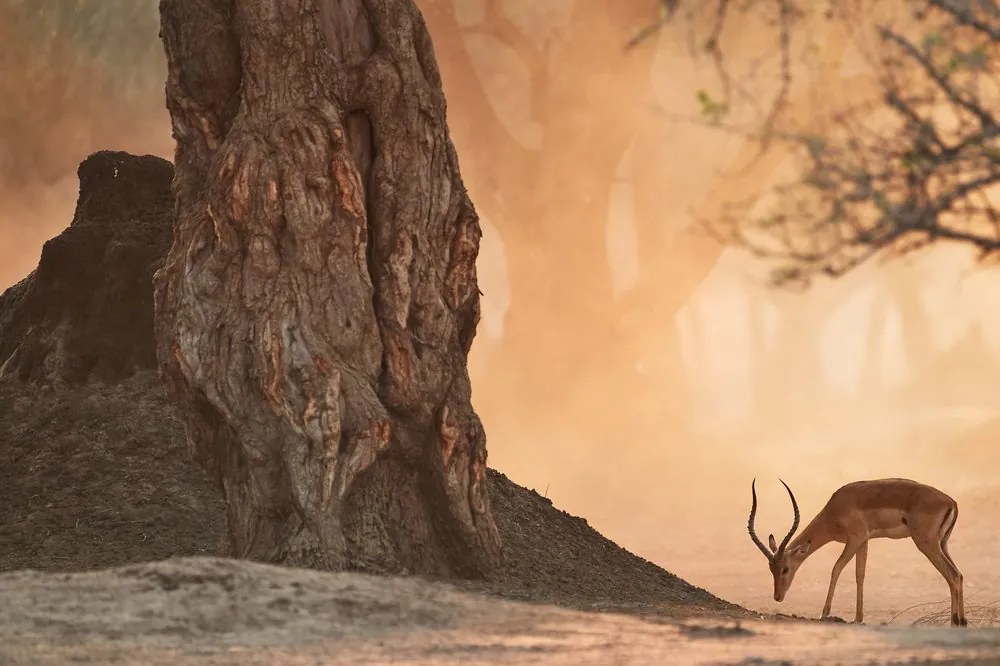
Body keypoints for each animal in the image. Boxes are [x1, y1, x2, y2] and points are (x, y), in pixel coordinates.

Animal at [748, 478, 964, 624]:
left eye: (785, 569)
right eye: (771, 569)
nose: (778, 596)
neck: (834, 509)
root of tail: (951, 502)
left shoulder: (855, 539)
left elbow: (836, 568)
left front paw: (824, 613)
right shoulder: (864, 541)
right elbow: (860, 574)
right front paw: (858, 618)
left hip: (926, 544)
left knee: (952, 575)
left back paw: (956, 622)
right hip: (942, 544)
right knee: (959, 575)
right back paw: (962, 622)